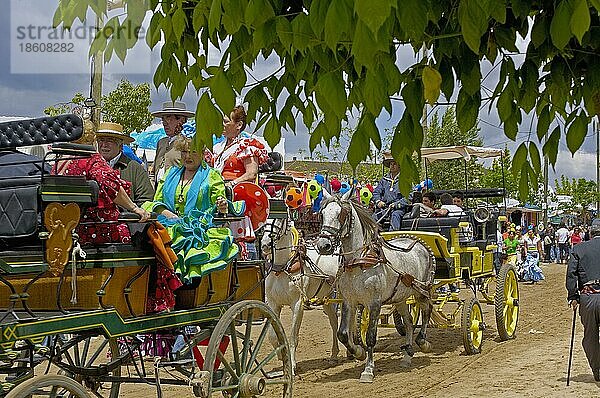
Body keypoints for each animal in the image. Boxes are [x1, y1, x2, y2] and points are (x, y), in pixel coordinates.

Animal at [262, 215, 340, 374]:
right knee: (334, 322)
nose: (265, 243)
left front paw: (291, 365)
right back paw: (334, 355)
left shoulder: (297, 305)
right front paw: (281, 356)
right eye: (266, 217)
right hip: (327, 298)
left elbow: (293, 337)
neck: (283, 267)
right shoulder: (273, 303)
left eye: (280, 220)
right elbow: (272, 335)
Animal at [314, 191, 436, 384]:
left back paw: (423, 342)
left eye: (342, 214)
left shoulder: (374, 303)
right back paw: (407, 355)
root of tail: (417, 241)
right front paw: (358, 352)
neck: (358, 262)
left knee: (426, 311)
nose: (323, 245)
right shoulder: (349, 301)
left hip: (421, 291)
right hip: (400, 297)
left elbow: (371, 337)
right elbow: (343, 333)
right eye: (322, 214)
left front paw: (368, 370)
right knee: (409, 321)